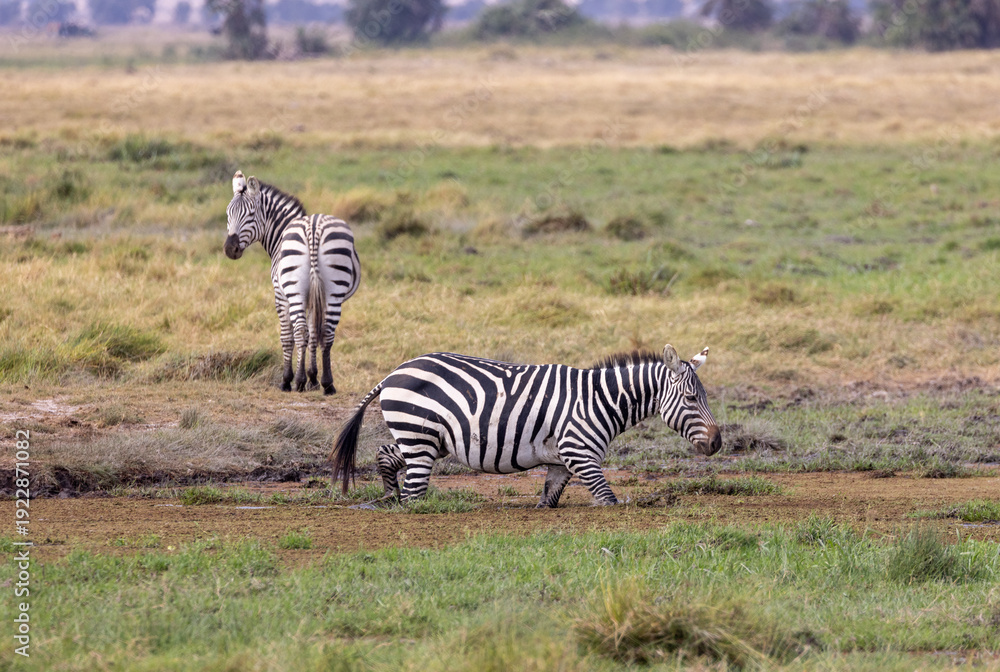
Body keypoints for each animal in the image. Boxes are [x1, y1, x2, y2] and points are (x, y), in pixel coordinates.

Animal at [224, 171, 361, 394]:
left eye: (251, 215)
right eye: (228, 214)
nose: (230, 249)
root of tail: (314, 228)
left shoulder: (280, 295)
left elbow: (287, 336)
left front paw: (289, 379)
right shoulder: (313, 298)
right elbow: (313, 334)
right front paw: (313, 379)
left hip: (295, 290)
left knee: (298, 330)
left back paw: (296, 380)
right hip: (334, 290)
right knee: (327, 331)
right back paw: (328, 383)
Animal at [331, 345, 721, 507]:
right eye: (691, 399)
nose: (718, 444)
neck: (599, 399)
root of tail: (392, 373)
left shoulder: (561, 461)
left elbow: (548, 500)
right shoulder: (580, 453)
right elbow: (609, 501)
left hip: (427, 440)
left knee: (387, 453)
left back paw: (388, 495)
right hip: (420, 436)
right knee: (414, 494)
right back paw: (403, 504)